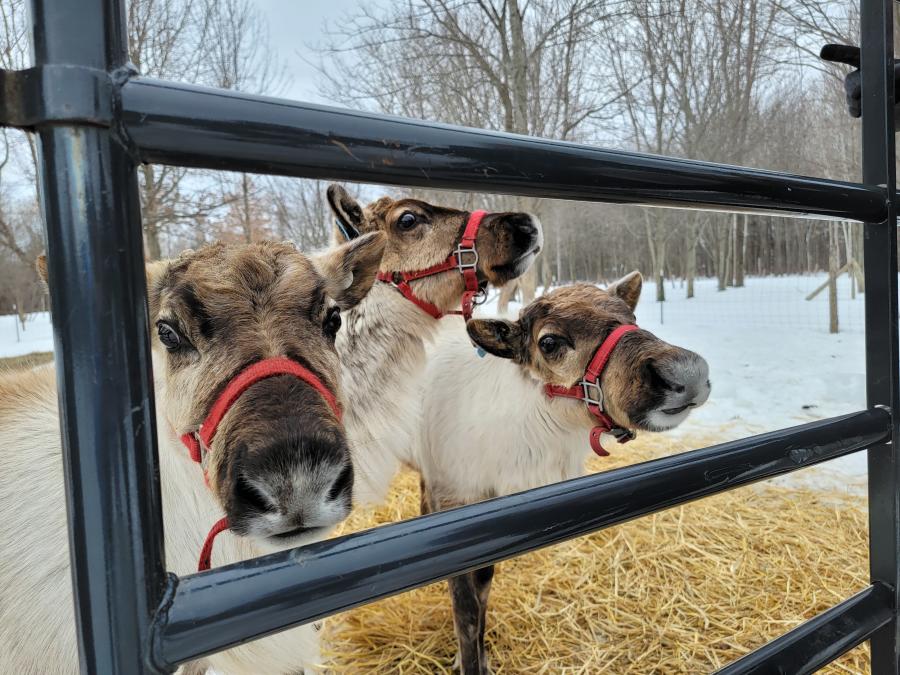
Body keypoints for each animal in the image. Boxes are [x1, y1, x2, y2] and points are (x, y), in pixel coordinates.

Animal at [413, 275, 711, 675]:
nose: (685, 373)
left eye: (631, 315)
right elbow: (467, 610)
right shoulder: (453, 504)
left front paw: (483, 657)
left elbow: (484, 586)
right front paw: (468, 660)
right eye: (549, 341)